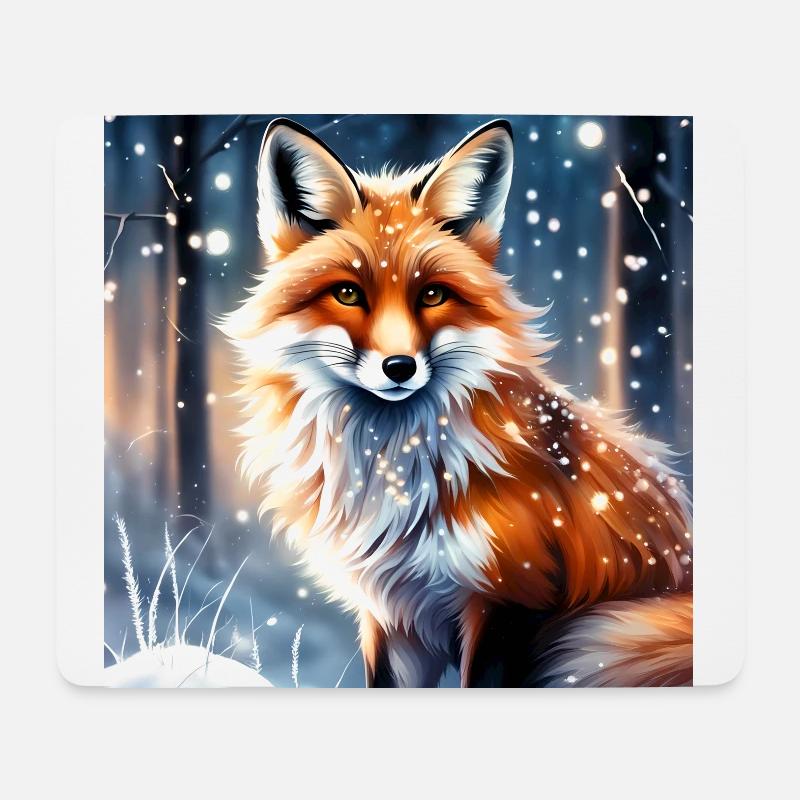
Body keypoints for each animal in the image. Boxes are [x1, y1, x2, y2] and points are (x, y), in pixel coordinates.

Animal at [222, 117, 693, 688]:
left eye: (432, 295)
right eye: (348, 293)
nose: (398, 367)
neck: (397, 478)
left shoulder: (511, 599)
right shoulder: (391, 614)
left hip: (598, 634)